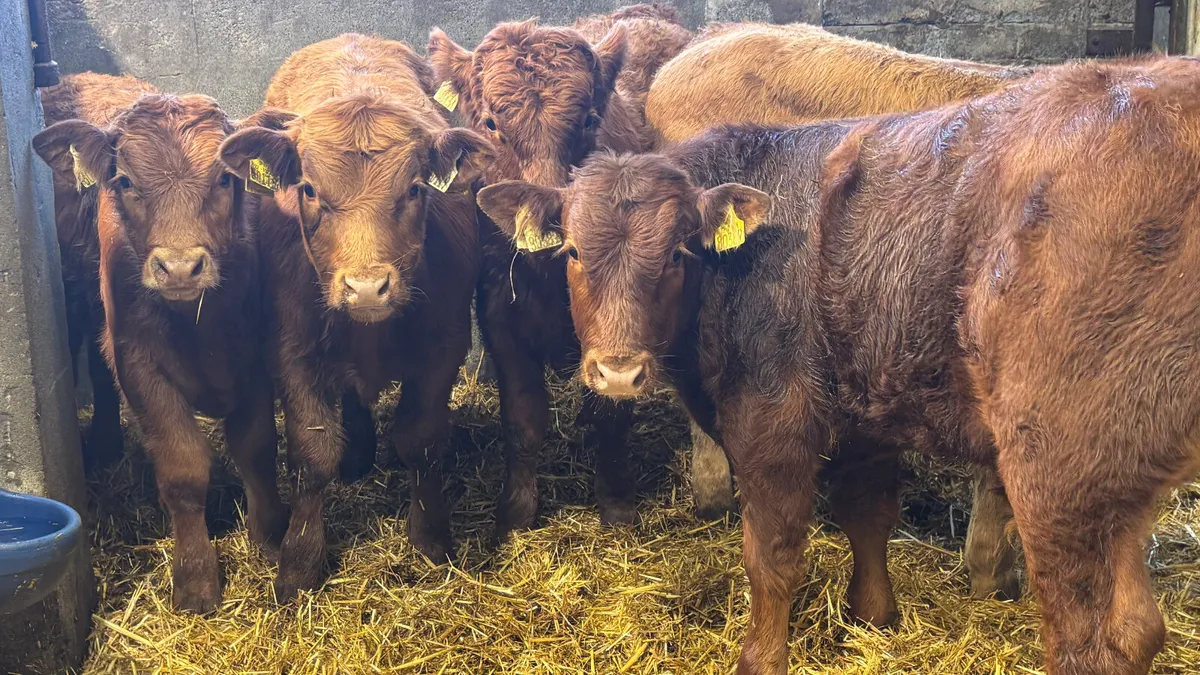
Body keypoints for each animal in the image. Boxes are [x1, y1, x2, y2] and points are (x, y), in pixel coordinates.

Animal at [218, 34, 492, 600]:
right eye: (308, 190)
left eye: (415, 189)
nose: (366, 287)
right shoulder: (292, 350)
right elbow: (312, 455)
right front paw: (299, 567)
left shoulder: (445, 345)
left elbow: (421, 442)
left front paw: (432, 541)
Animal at [426, 11, 687, 541]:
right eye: (491, 122)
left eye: (588, 119)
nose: (547, 213)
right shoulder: (499, 314)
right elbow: (523, 417)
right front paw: (515, 512)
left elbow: (611, 413)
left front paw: (616, 503)